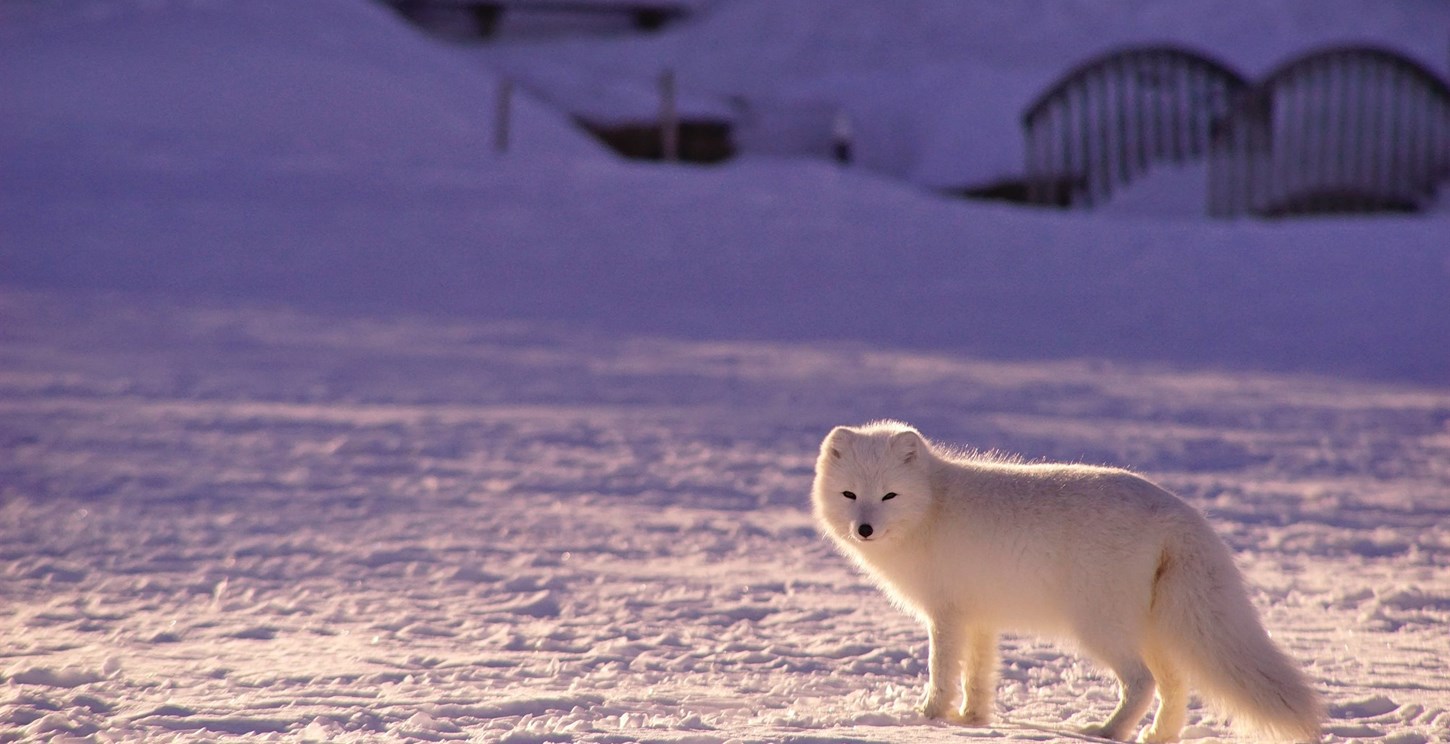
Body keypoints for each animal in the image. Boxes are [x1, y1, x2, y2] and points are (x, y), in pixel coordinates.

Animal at [811, 420, 1322, 743]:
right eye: (850, 494)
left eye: (889, 496)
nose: (864, 529)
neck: (933, 507)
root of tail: (1180, 513)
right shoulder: (980, 617)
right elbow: (979, 674)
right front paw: (974, 720)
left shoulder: (947, 615)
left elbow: (942, 670)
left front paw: (929, 717)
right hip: (1153, 630)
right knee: (1175, 685)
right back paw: (1158, 735)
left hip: (1098, 627)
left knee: (1142, 682)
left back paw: (1108, 732)